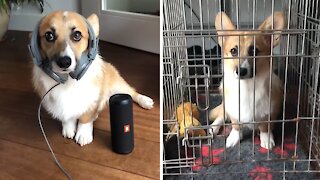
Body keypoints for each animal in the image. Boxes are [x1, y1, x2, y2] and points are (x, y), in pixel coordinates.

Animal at [31, 10, 154, 146]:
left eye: (77, 35)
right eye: (49, 36)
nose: (64, 62)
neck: (68, 80)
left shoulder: (92, 100)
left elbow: (85, 118)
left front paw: (83, 134)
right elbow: (67, 116)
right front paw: (68, 128)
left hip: (117, 87)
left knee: (132, 92)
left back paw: (145, 100)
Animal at [210, 11, 284, 149]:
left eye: (254, 50)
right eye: (233, 51)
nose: (241, 71)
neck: (247, 86)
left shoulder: (270, 112)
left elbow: (265, 127)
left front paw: (266, 139)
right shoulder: (233, 110)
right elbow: (235, 125)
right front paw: (234, 138)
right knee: (222, 115)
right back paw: (214, 127)